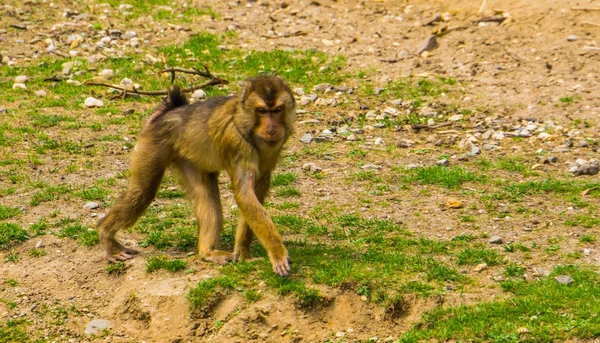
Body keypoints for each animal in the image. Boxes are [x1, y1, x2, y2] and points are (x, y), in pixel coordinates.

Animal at [97, 74, 296, 276]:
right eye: (262, 111)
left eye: (277, 110)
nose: (271, 129)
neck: (245, 123)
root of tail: (169, 112)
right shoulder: (236, 142)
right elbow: (245, 193)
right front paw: (277, 252)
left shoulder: (275, 147)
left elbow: (257, 191)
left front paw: (243, 252)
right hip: (154, 143)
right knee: (143, 192)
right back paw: (106, 236)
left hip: (190, 156)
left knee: (205, 195)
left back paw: (207, 252)